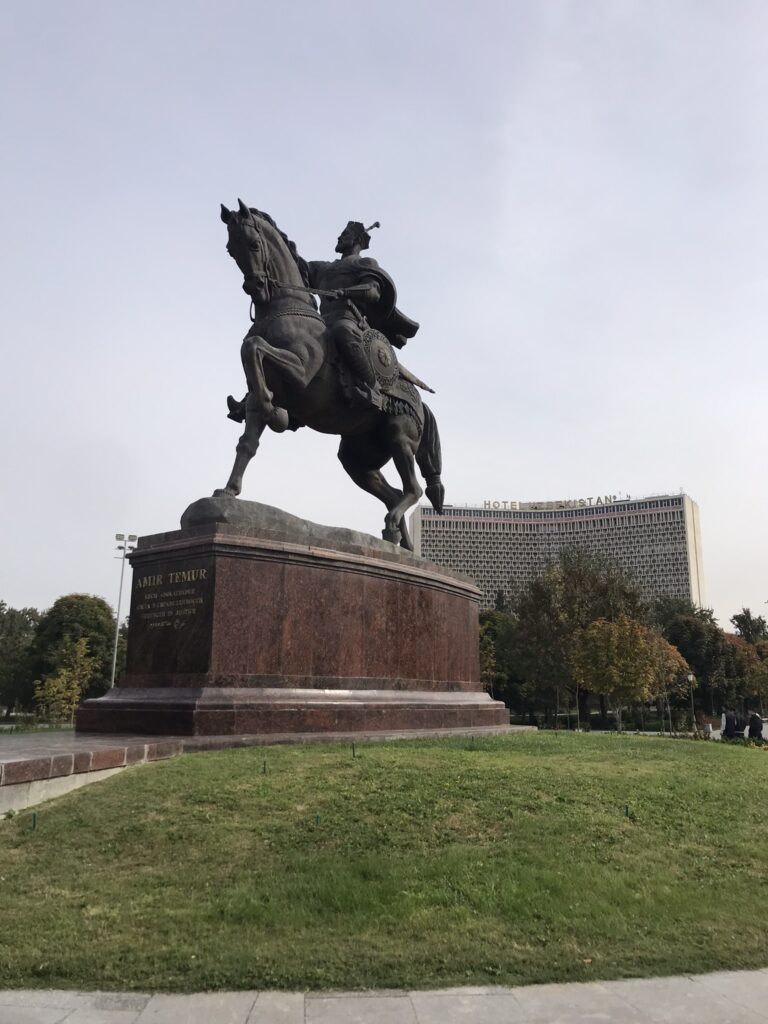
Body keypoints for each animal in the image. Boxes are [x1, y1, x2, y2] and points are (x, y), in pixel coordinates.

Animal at [215, 201, 444, 552]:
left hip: (399, 436)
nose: (255, 287)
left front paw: (276, 412)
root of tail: (421, 403)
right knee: (393, 494)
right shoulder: (256, 395)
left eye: (253, 244)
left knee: (413, 489)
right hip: (358, 458)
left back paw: (396, 533)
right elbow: (247, 443)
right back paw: (400, 545)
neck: (283, 310)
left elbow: (253, 347)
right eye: (231, 249)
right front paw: (228, 491)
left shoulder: (299, 373)